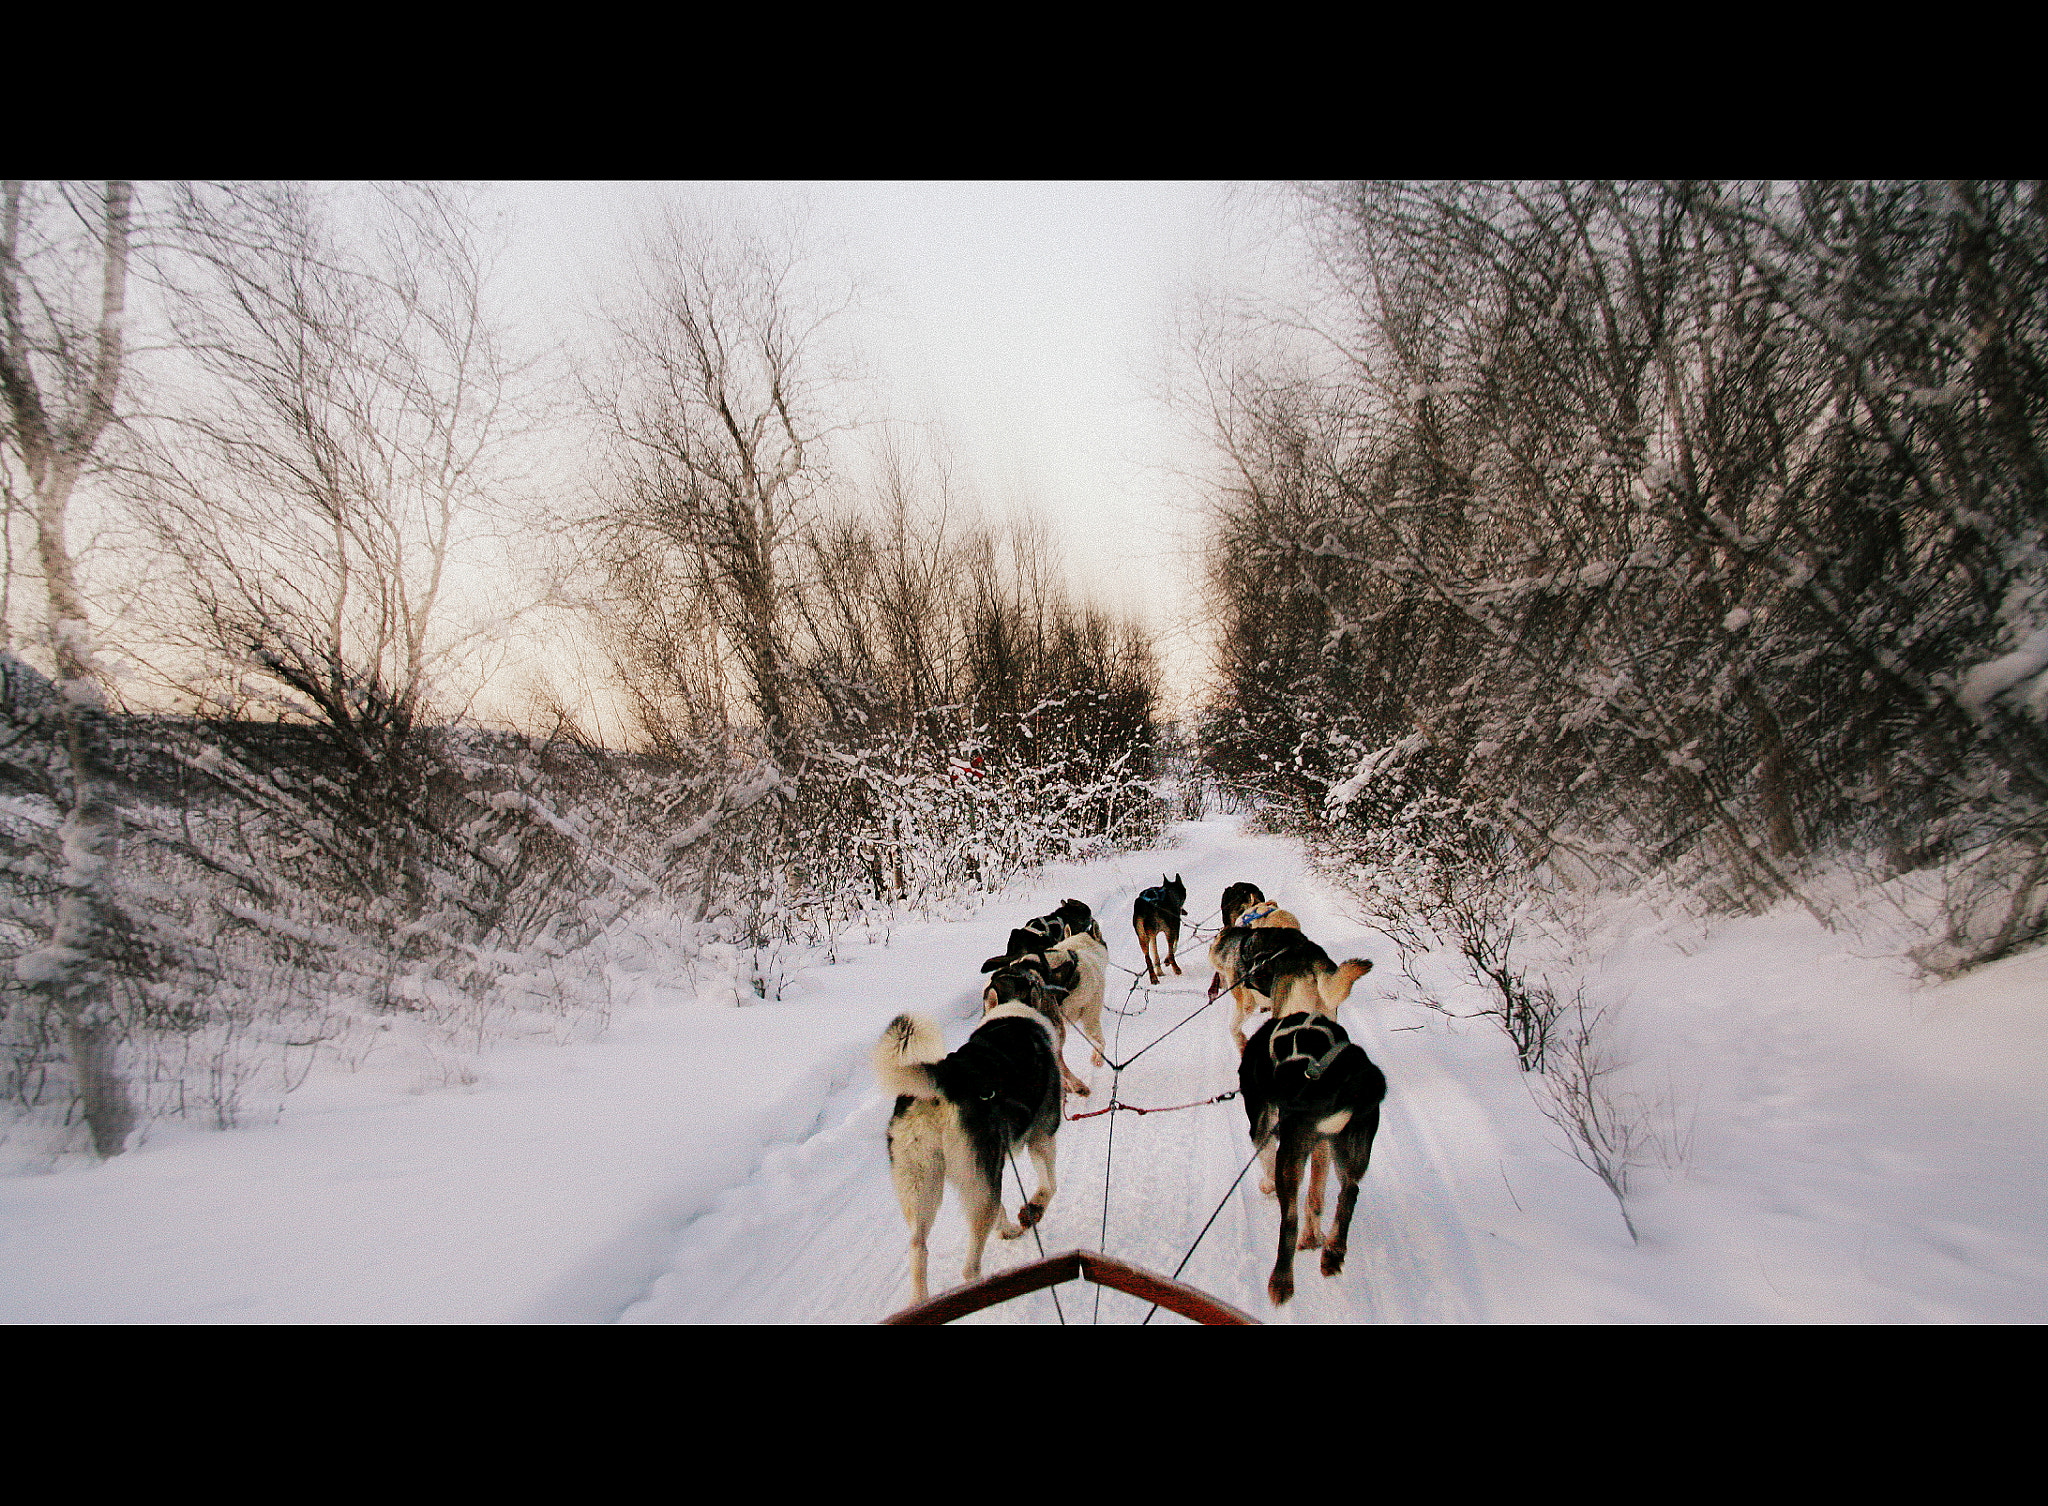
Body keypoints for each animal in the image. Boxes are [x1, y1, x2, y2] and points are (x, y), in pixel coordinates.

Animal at [872, 999, 1064, 1311]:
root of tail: (944, 1078)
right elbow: (1049, 1186)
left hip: (928, 1186)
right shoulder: (1042, 1137)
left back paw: (922, 1301)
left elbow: (1005, 1207)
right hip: (978, 1183)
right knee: (969, 1268)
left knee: (918, 1247)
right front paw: (1032, 1210)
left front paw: (1009, 1227)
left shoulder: (988, 1170)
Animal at [1228, 1012, 1392, 1311]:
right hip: (1349, 1148)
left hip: (1292, 1153)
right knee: (1349, 1191)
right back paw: (1333, 1253)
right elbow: (1316, 1198)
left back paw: (1281, 1282)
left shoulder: (1262, 1127)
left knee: (1290, 1220)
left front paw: (1267, 1185)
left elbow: (1266, 1157)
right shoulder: (1322, 1147)